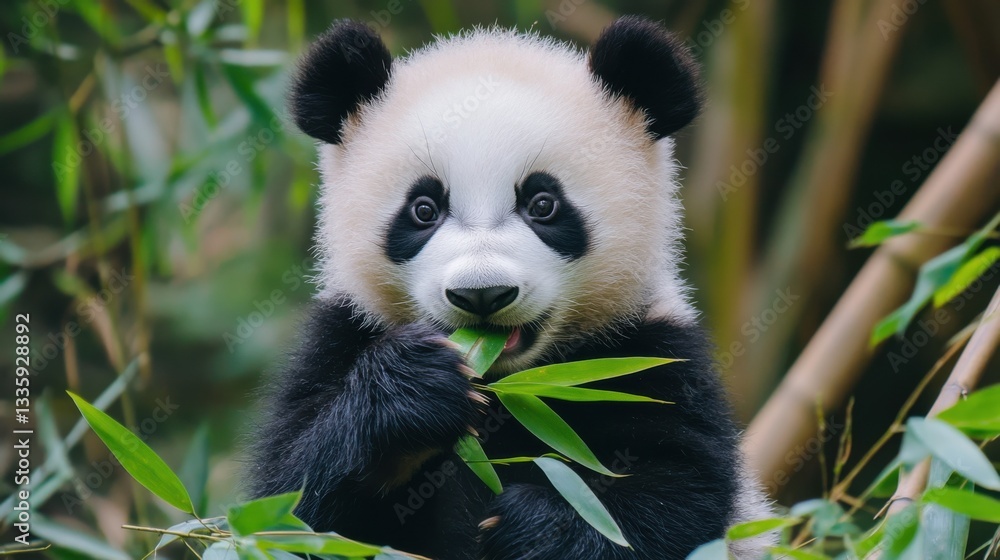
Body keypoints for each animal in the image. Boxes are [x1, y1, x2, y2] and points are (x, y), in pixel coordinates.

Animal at [247, 16, 773, 560]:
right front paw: (414, 387)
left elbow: (674, 497)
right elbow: (294, 508)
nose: (483, 293)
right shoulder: (340, 338)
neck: (504, 386)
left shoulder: (652, 353)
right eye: (423, 209)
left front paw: (536, 528)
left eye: (543, 204)